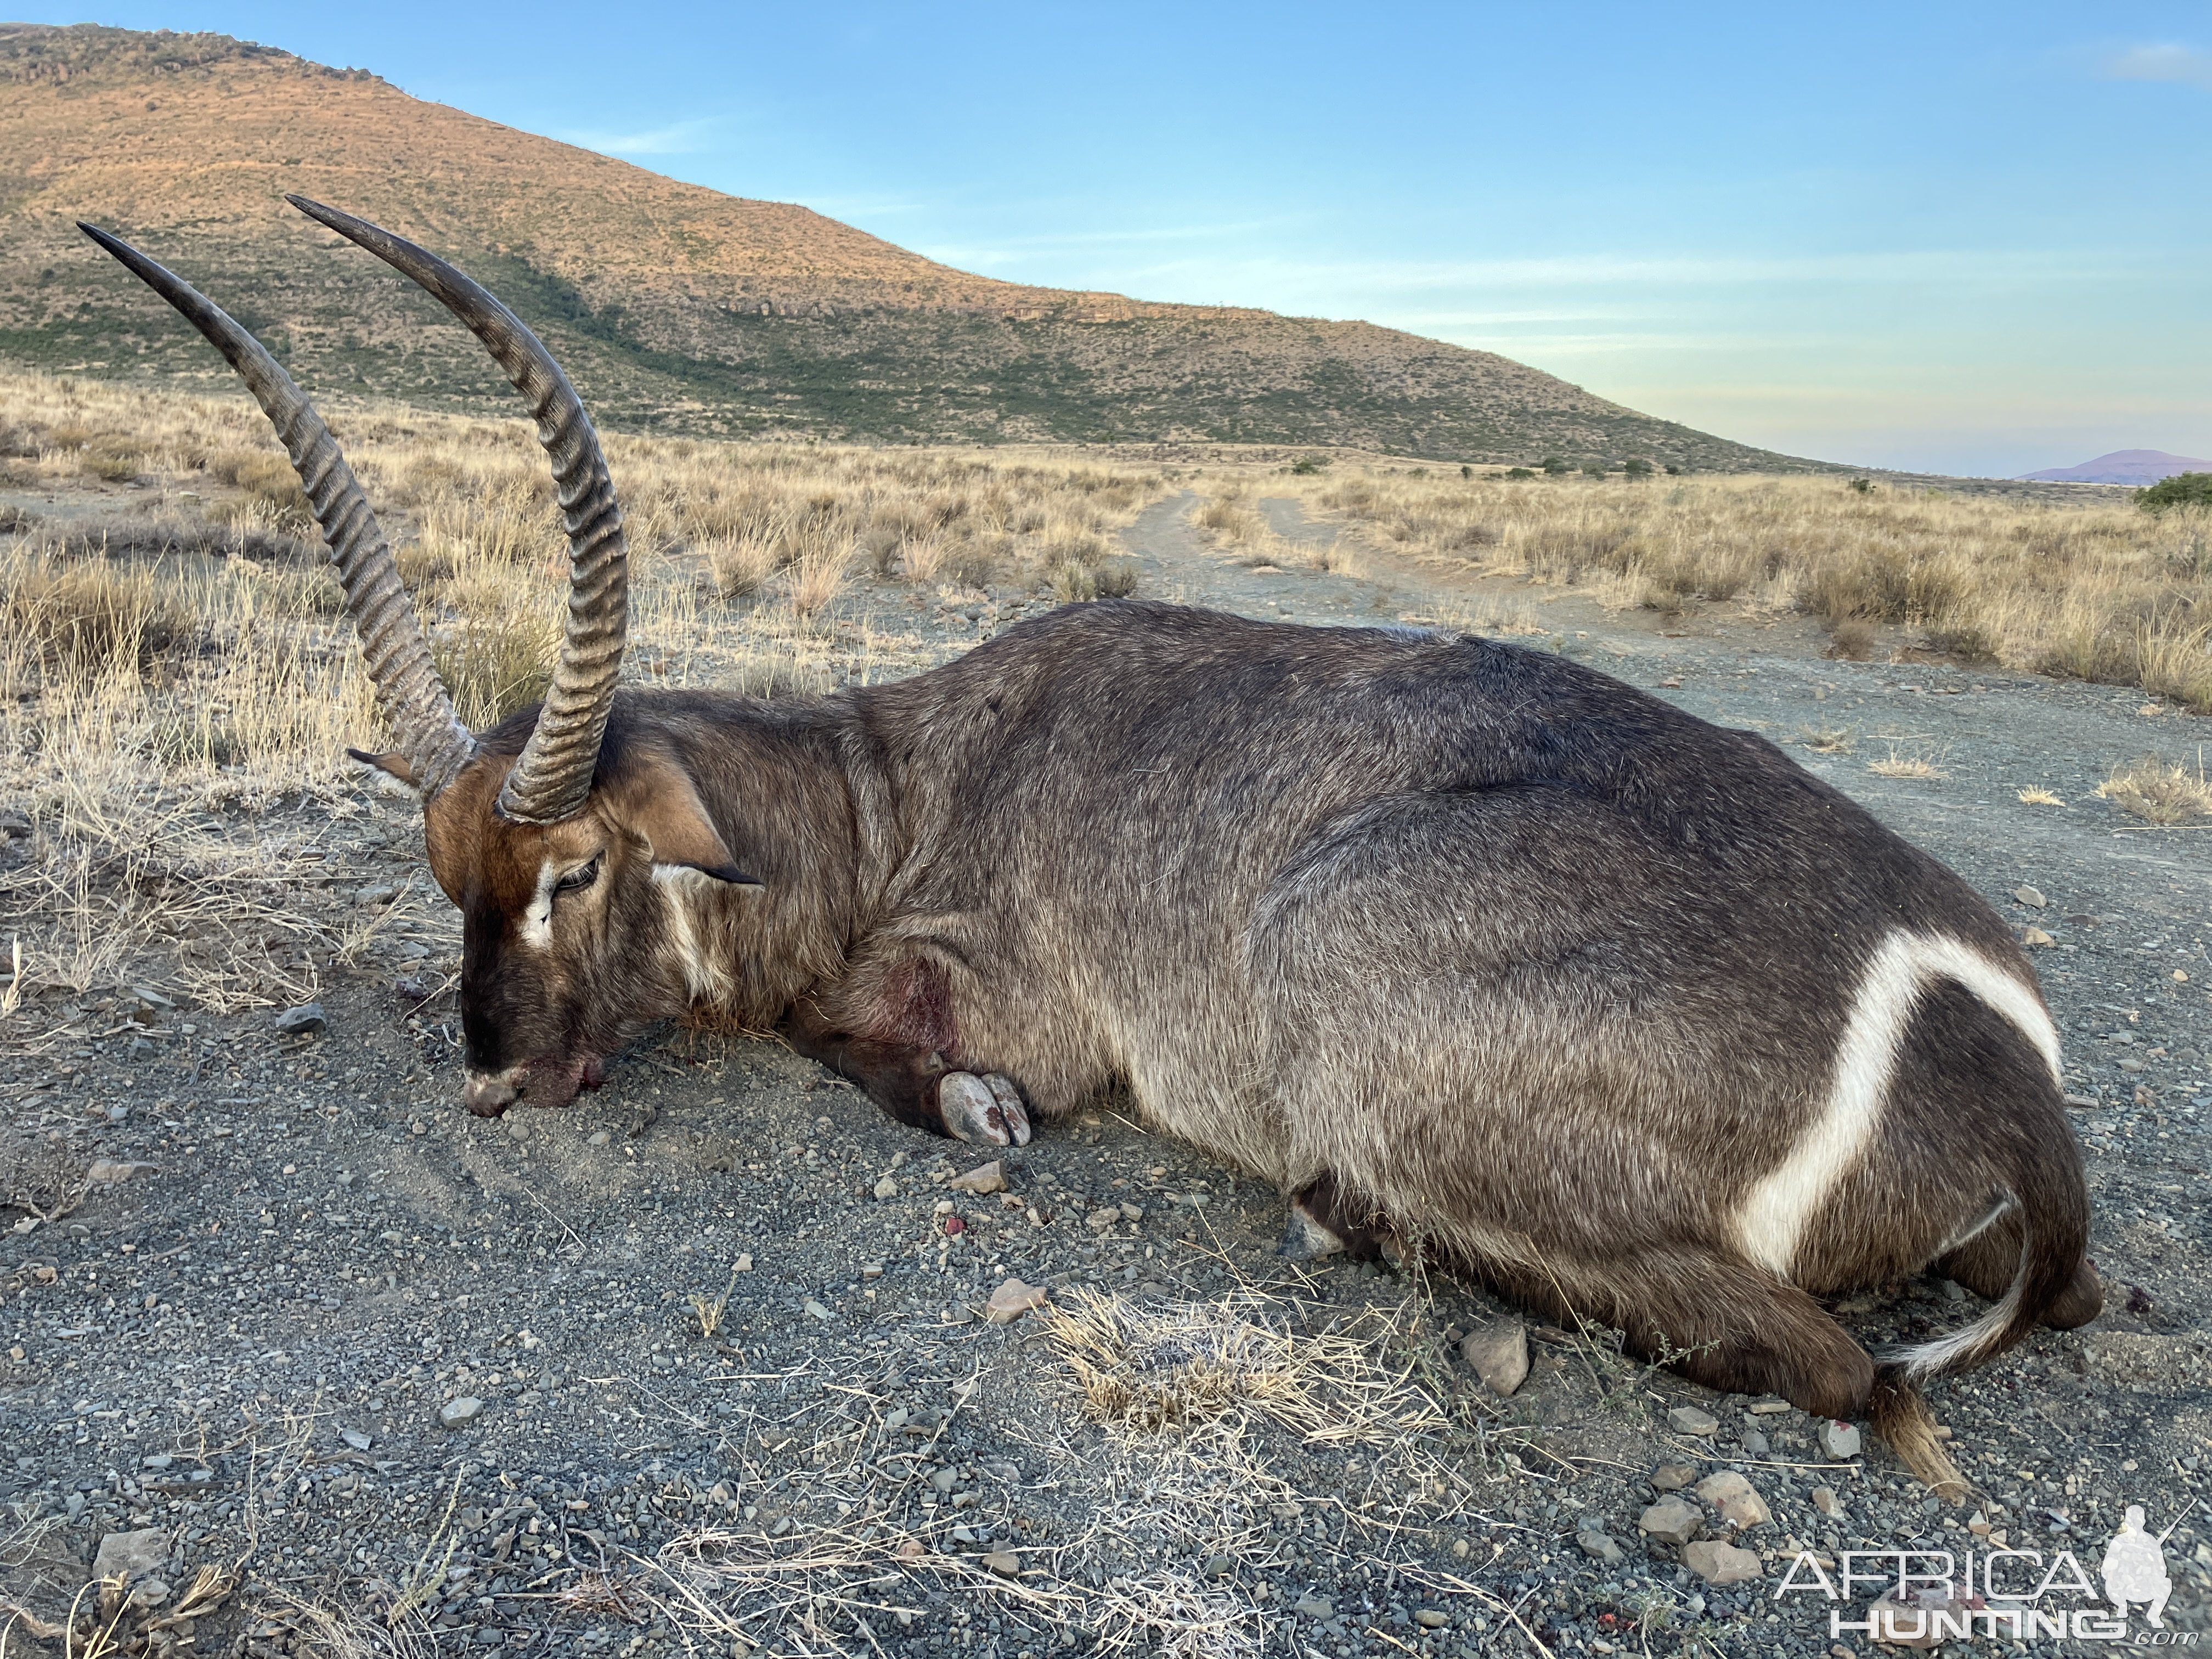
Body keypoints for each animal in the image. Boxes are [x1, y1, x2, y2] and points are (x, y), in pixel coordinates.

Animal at [82, 201, 2088, 1504]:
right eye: (451, 885)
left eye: (573, 868)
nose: (491, 1076)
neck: (890, 784)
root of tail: (2000, 1068)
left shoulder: (1014, 999)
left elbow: (880, 1051)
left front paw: (971, 1111)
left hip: (1330, 937)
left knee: (1826, 1364)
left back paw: (1335, 1209)